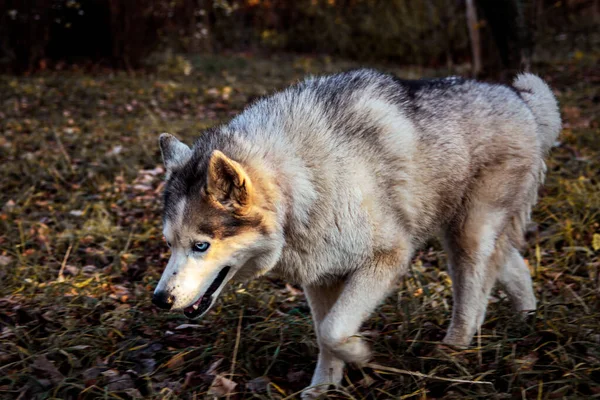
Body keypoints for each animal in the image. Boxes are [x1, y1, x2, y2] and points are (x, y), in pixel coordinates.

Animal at [152, 70, 560, 398]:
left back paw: (455, 349)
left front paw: (361, 352)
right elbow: (324, 334)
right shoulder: (319, 276)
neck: (302, 179)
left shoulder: (388, 258)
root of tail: (520, 98)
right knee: (512, 267)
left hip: (468, 235)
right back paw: (526, 321)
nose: (160, 300)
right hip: (462, 231)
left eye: (201, 245)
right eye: (169, 244)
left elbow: (334, 330)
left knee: (473, 293)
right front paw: (324, 387)